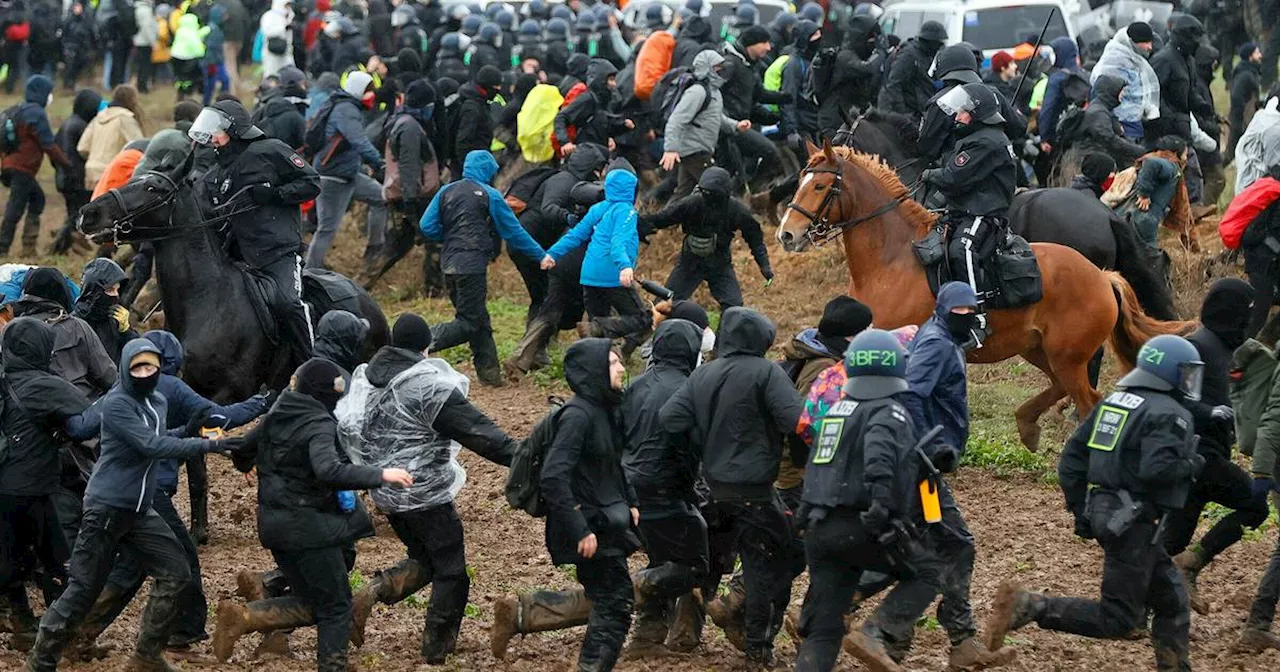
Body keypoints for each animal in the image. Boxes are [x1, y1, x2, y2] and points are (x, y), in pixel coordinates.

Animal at [778, 145, 1187, 450]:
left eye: (820, 187)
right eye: (802, 181)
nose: (786, 234)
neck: (893, 256)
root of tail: (1102, 277)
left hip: (1066, 357)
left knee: (1088, 400)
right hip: (1039, 350)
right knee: (1064, 388)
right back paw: (1028, 424)